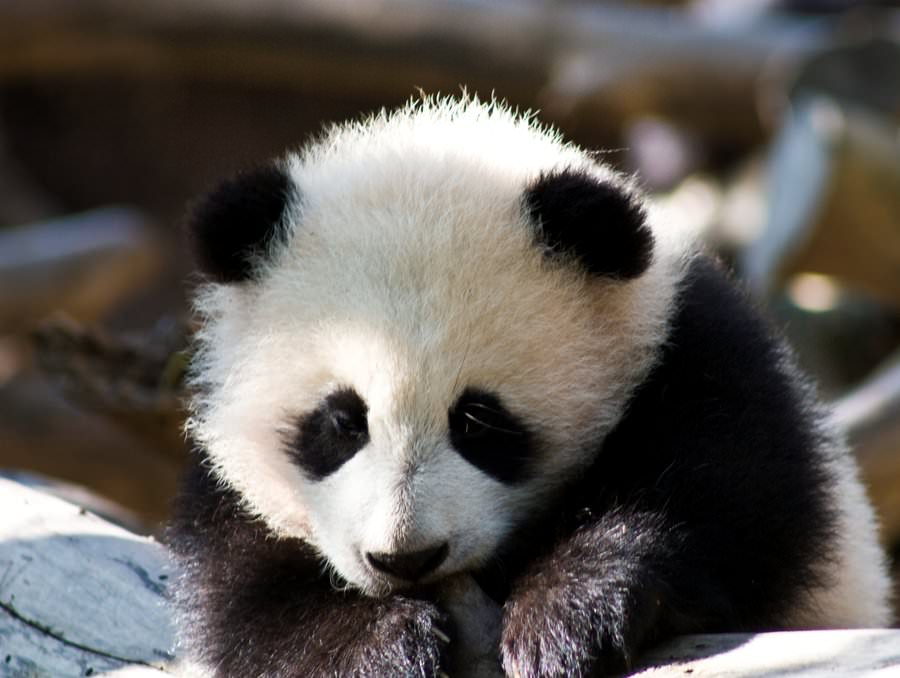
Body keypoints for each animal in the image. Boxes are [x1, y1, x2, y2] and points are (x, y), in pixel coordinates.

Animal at [167, 96, 892, 678]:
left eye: (478, 421)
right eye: (343, 422)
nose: (406, 557)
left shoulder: (700, 352)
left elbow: (727, 500)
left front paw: (567, 617)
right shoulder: (230, 476)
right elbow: (241, 593)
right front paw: (372, 647)